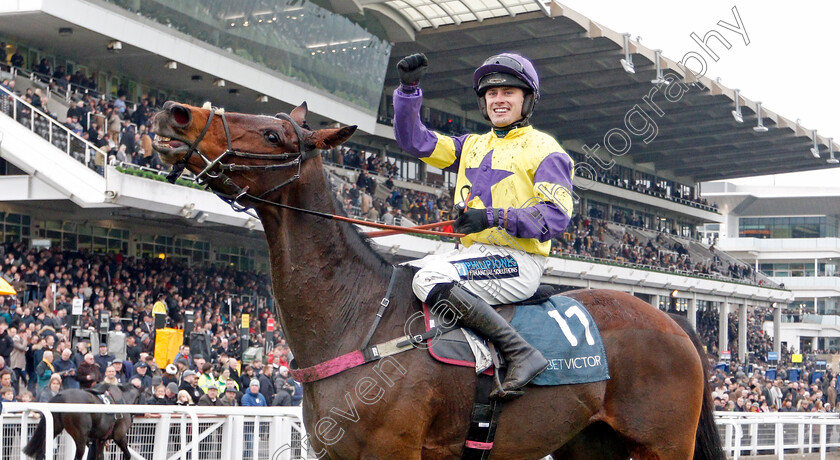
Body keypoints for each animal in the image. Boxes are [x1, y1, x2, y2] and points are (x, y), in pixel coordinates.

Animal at [149, 102, 720, 458]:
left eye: (272, 134)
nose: (176, 113)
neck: (358, 317)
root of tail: (675, 323)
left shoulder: (393, 451)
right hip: (588, 442)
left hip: (663, 444)